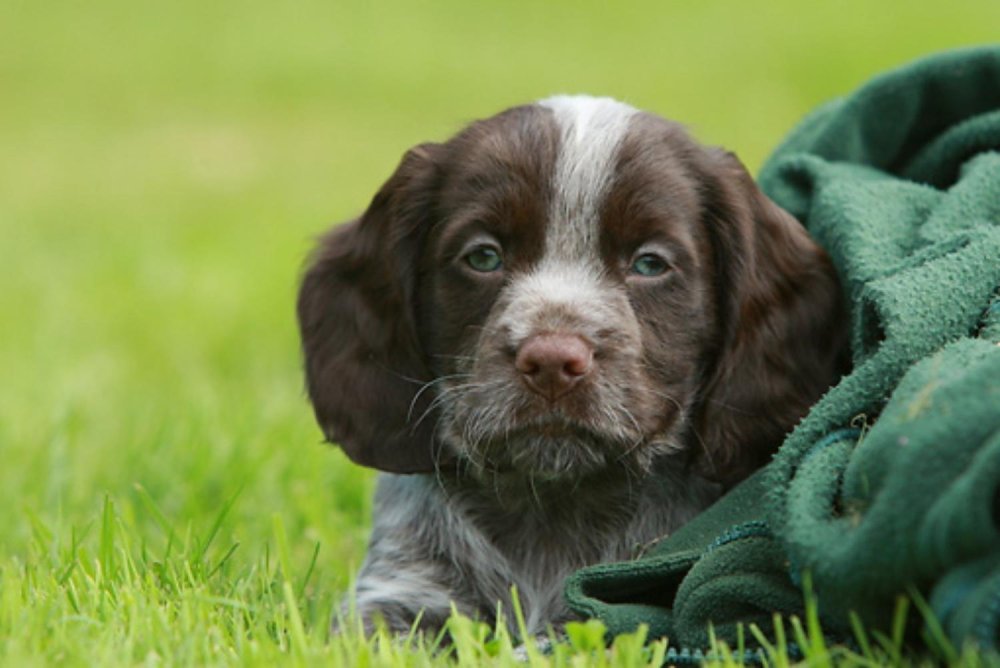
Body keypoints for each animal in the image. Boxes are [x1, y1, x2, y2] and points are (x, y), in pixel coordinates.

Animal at [294, 95, 844, 636]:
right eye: (483, 256)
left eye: (649, 264)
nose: (553, 361)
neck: (551, 507)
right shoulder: (400, 592)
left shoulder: (632, 609)